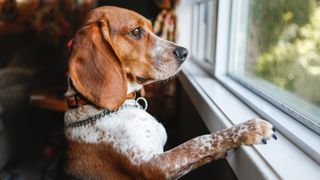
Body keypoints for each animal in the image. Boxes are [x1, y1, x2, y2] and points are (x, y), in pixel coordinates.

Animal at [63, 5, 276, 180]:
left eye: (150, 27)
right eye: (136, 31)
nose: (184, 52)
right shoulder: (157, 166)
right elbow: (197, 142)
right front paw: (248, 128)